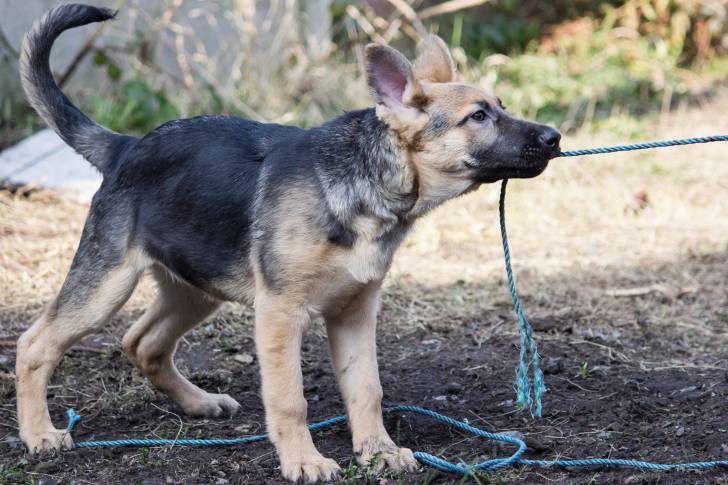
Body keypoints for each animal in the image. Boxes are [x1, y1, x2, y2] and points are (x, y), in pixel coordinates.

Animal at [15, 2, 564, 480]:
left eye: (501, 107)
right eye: (479, 117)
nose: (555, 138)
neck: (365, 185)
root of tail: (125, 147)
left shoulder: (354, 312)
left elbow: (367, 389)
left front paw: (379, 452)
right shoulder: (280, 312)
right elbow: (289, 398)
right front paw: (305, 461)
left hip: (196, 286)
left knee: (143, 341)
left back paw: (199, 402)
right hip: (106, 285)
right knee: (34, 344)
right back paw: (39, 434)